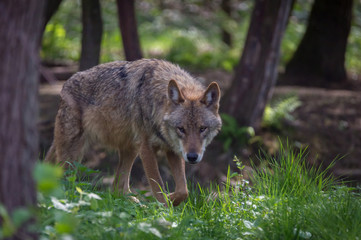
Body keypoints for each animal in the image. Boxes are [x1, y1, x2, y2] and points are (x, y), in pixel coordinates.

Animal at [44, 58, 221, 206]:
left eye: (202, 129)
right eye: (181, 129)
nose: (192, 157)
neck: (156, 102)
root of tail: (65, 85)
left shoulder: (172, 149)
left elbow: (183, 190)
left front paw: (171, 199)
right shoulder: (146, 148)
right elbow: (158, 186)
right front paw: (165, 209)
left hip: (130, 150)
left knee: (117, 188)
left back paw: (137, 203)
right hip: (72, 157)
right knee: (63, 183)